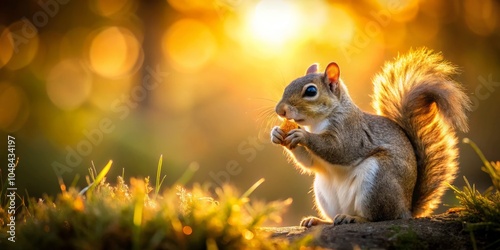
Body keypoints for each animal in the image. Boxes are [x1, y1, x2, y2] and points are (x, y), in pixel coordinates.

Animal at [272, 48, 470, 227]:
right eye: (287, 86)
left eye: (311, 91)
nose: (280, 110)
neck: (317, 123)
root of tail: (406, 209)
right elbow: (310, 163)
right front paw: (276, 133)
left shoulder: (351, 132)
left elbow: (337, 149)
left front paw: (302, 135)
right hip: (324, 193)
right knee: (334, 218)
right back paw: (319, 220)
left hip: (376, 182)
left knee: (379, 217)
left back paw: (355, 218)